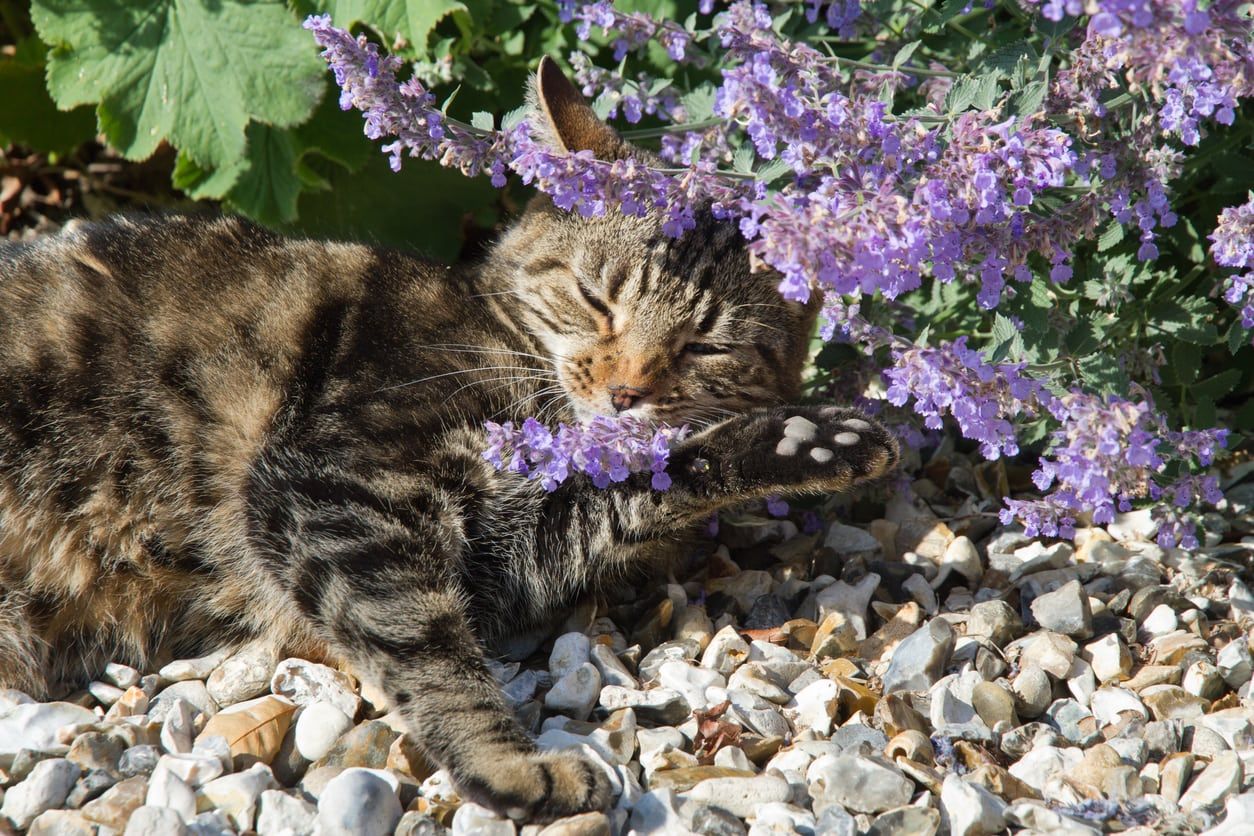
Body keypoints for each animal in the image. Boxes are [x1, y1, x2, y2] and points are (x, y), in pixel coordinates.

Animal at [0, 60, 902, 822]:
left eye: (706, 347)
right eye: (595, 299)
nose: (627, 391)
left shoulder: (507, 548)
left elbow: (642, 481)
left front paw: (808, 439)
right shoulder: (334, 485)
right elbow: (428, 649)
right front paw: (509, 766)